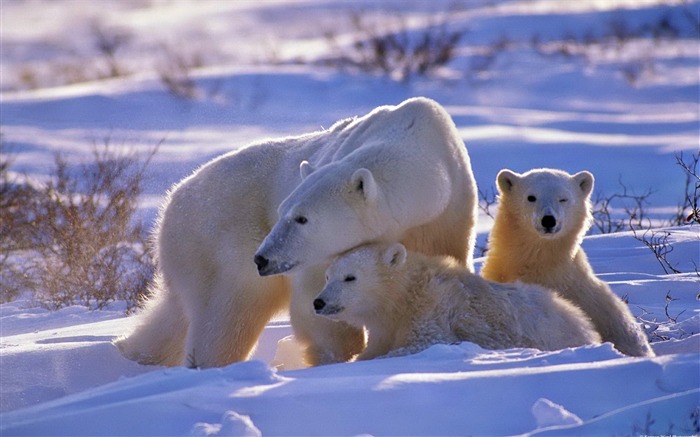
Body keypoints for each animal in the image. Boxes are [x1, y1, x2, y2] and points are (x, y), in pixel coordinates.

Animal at [116, 96, 476, 368]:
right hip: (218, 237)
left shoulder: (448, 215)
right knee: (230, 311)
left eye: (301, 218)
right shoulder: (319, 256)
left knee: (175, 312)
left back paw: (132, 351)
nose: (262, 258)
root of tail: (172, 198)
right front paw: (338, 354)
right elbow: (315, 300)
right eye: (282, 211)